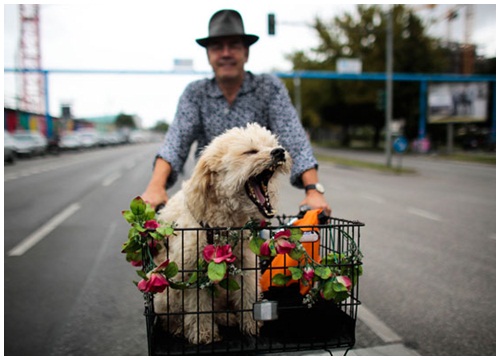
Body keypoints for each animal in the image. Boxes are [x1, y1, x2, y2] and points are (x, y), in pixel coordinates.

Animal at [154, 123, 292, 344]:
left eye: (271, 145)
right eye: (250, 151)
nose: (279, 151)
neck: (224, 226)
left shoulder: (246, 268)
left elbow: (248, 298)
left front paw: (250, 325)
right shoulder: (194, 276)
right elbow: (199, 309)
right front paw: (203, 333)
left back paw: (224, 317)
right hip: (165, 294)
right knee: (171, 317)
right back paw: (178, 328)